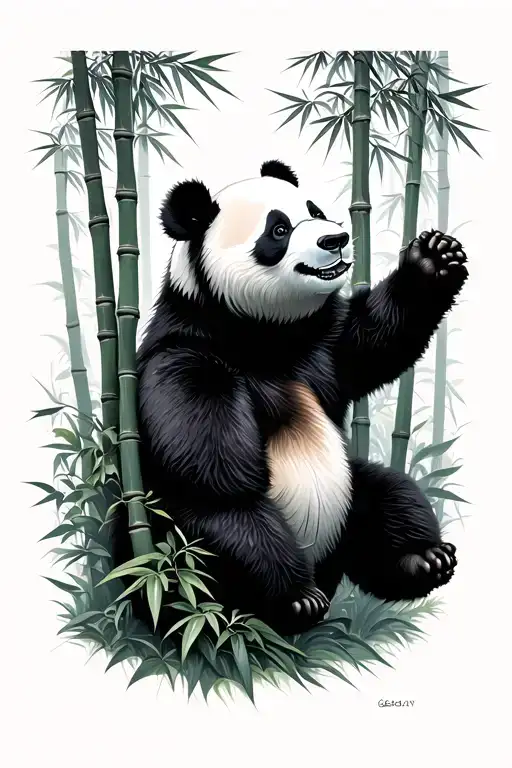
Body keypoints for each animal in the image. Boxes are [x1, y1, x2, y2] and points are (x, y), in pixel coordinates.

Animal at [112, 159, 467, 636]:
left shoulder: (320, 343)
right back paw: (279, 606)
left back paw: (421, 558)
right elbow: (220, 478)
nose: (334, 239)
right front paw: (294, 597)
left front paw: (434, 258)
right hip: (163, 537)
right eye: (277, 230)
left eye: (315, 210)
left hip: (351, 497)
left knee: (390, 495)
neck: (262, 334)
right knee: (204, 539)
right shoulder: (186, 360)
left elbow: (374, 340)